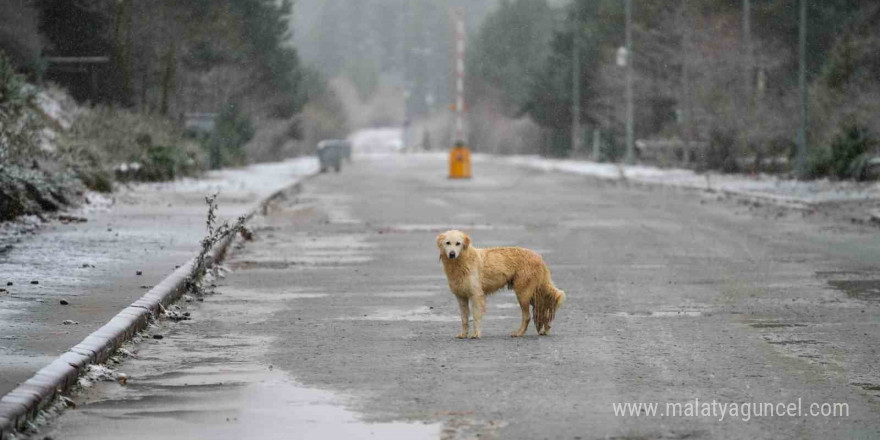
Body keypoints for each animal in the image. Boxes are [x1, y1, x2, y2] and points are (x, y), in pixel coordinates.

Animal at [436, 229, 568, 338]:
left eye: (458, 243)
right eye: (448, 243)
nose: (452, 254)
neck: (461, 262)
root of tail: (539, 257)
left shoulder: (477, 295)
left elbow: (476, 317)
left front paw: (476, 334)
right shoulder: (461, 297)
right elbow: (464, 319)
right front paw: (463, 334)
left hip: (523, 294)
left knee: (528, 316)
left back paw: (519, 333)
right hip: (532, 294)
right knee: (544, 307)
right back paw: (545, 330)